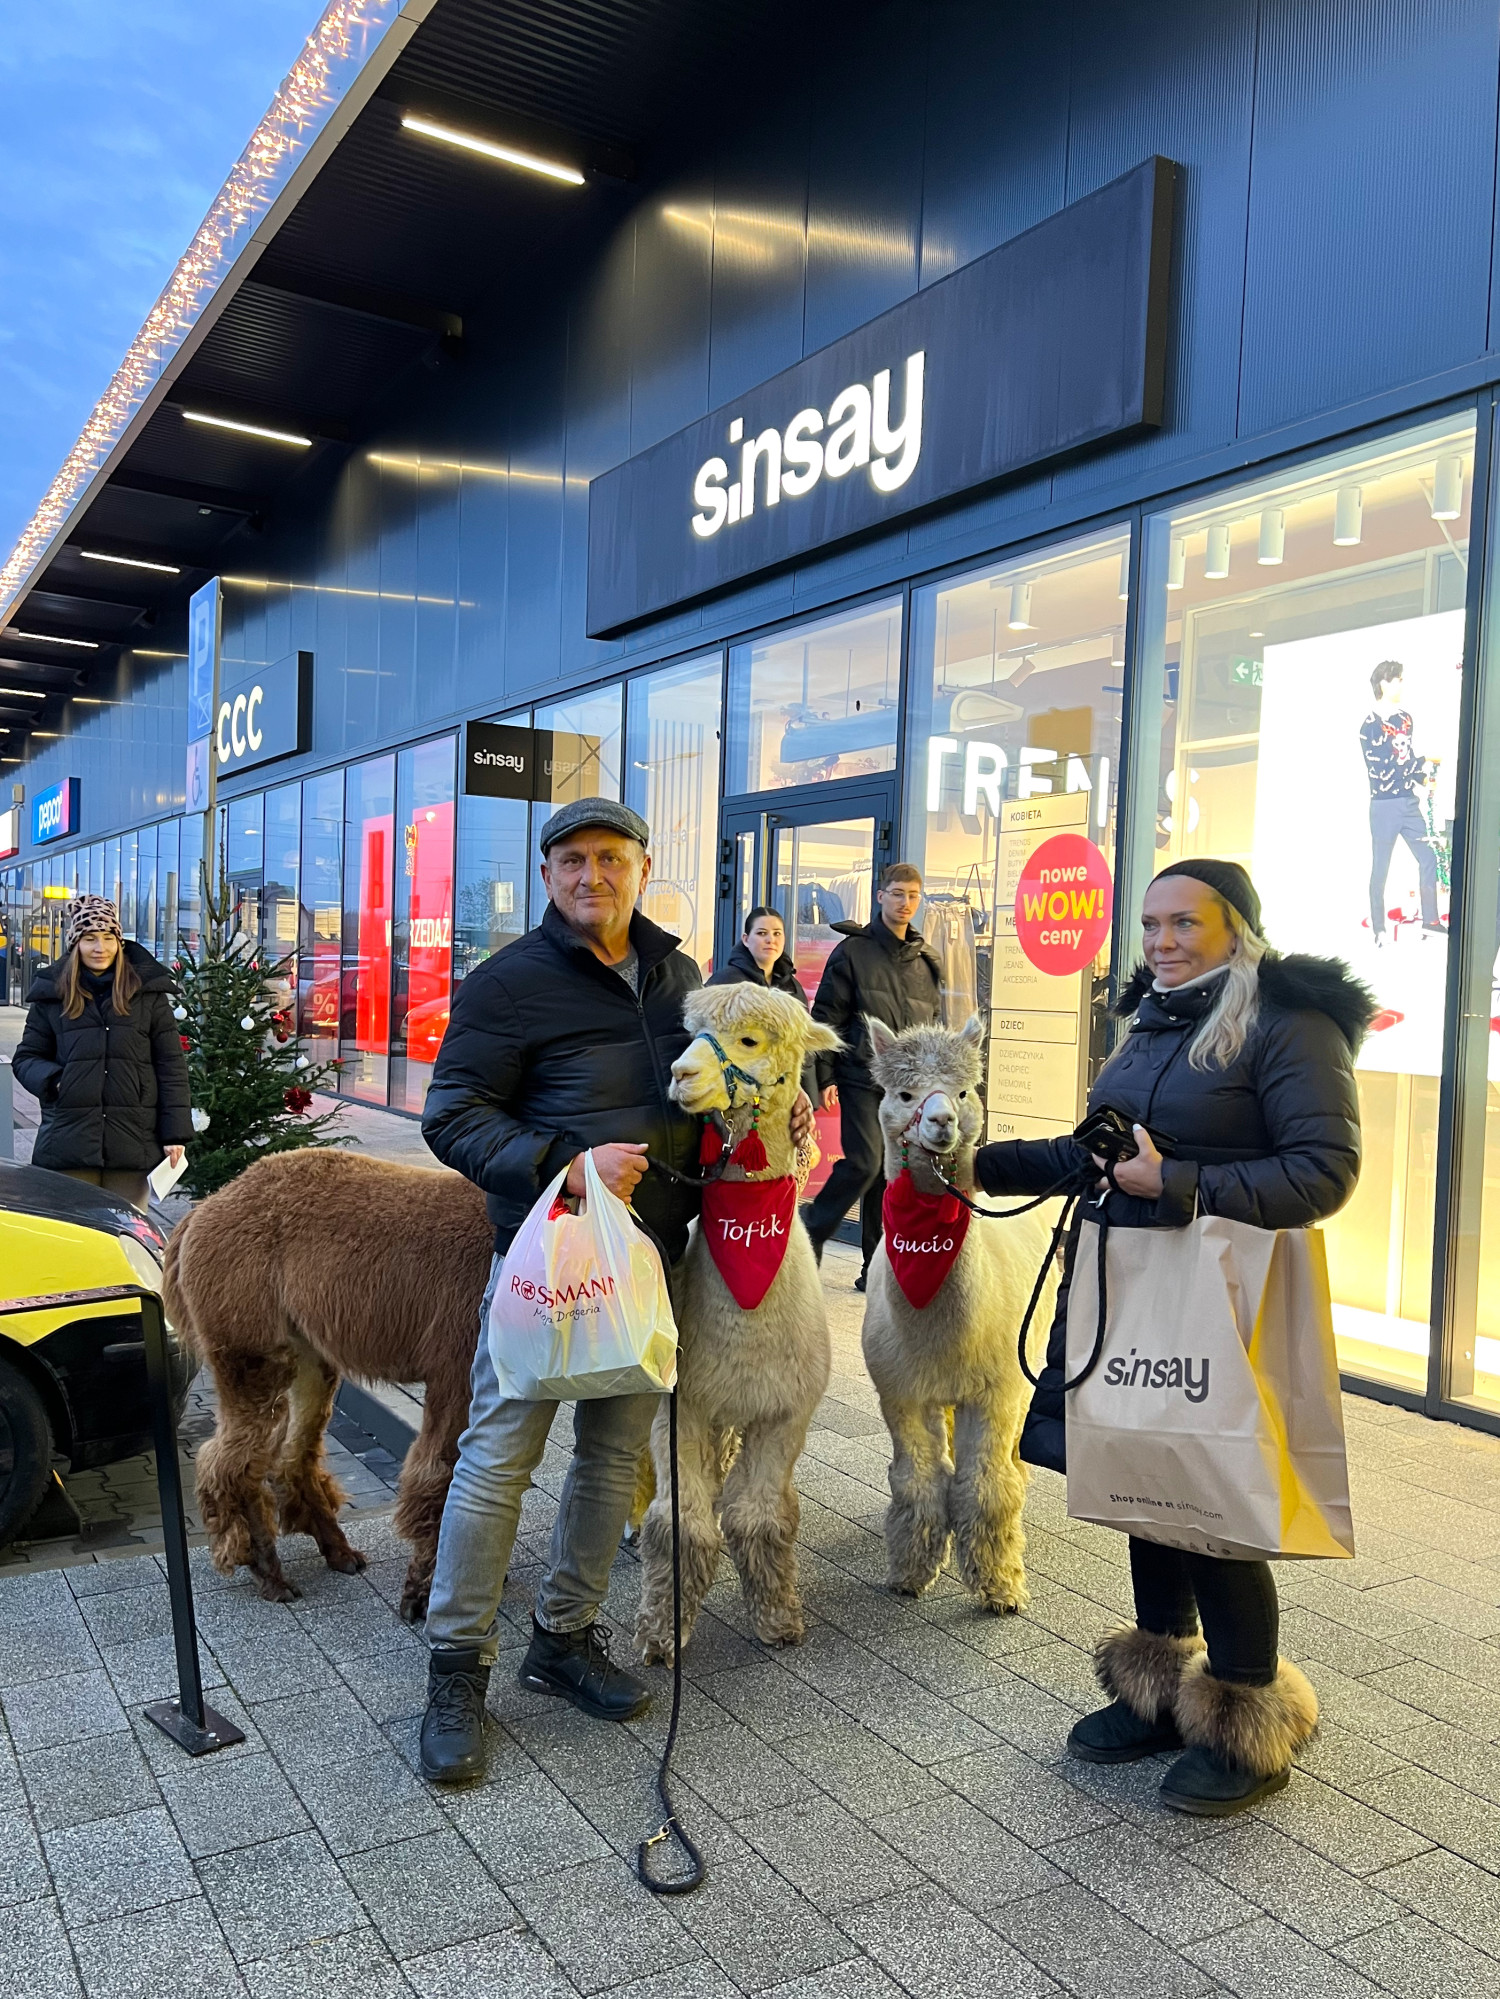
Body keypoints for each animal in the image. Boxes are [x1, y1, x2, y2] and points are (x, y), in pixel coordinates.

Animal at [164, 1149, 492, 1619]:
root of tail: (200, 1212)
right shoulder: (459, 1361)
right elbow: (442, 1475)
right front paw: (422, 1594)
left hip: (307, 1352)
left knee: (287, 1455)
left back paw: (338, 1552)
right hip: (248, 1339)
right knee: (230, 1461)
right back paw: (269, 1572)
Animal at [635, 983, 840, 1661]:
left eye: (749, 1040)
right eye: (687, 1031)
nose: (681, 1074)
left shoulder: (784, 1413)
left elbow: (761, 1518)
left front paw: (778, 1619)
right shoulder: (686, 1406)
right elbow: (681, 1525)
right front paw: (661, 1632)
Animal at [860, 1015, 1059, 1612]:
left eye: (967, 1090)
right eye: (904, 1095)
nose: (942, 1120)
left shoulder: (995, 1390)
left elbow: (987, 1486)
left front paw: (1000, 1588)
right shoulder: (901, 1390)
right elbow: (917, 1480)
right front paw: (911, 1571)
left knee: (1011, 1456)